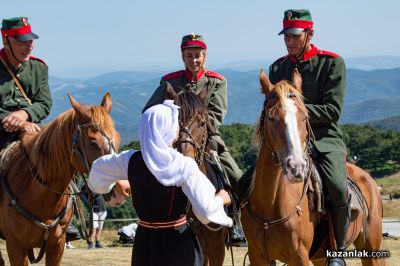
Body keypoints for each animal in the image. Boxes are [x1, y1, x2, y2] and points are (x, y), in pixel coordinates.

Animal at [241, 69, 384, 264]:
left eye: (305, 117)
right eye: (271, 117)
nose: (297, 167)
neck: (270, 205)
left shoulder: (299, 256)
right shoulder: (257, 256)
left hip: (370, 250)